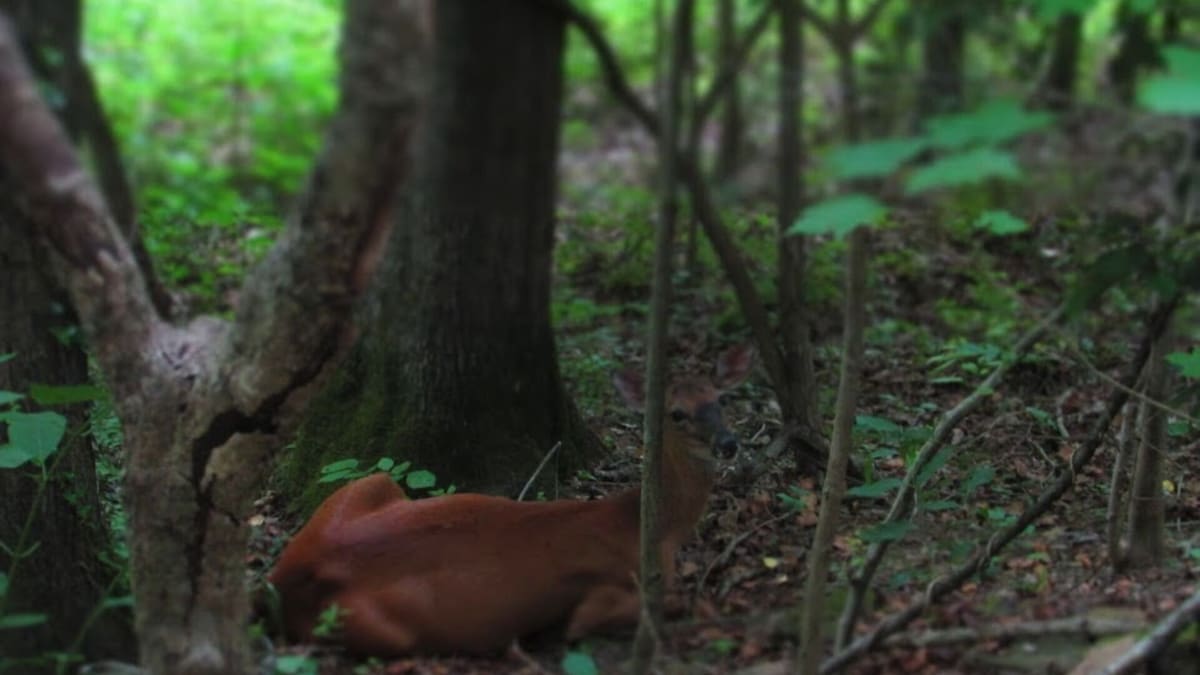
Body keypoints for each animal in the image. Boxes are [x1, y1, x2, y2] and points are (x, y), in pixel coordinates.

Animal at [270, 341, 748, 653]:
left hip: (370, 483)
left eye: (722, 399)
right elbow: (662, 604)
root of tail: (283, 574)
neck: (647, 524)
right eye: (677, 414)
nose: (728, 443)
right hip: (384, 629)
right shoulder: (603, 594)